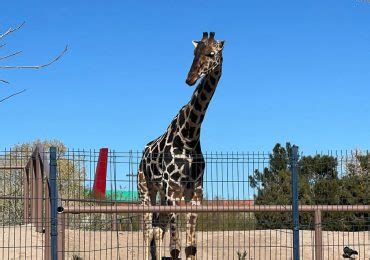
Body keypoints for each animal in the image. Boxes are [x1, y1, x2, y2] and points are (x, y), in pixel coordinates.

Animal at [138, 31, 225, 258]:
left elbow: (190, 246)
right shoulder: (173, 191)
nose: (189, 79)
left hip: (160, 195)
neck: (189, 136)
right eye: (194, 53)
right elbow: (175, 248)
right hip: (146, 190)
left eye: (211, 53)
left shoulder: (195, 194)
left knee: (156, 231)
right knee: (146, 232)